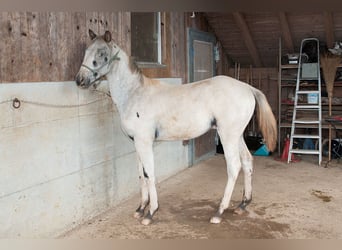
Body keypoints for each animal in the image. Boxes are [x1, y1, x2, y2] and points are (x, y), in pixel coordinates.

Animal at [76, 29, 276, 227]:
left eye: (102, 53)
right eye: (86, 51)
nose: (79, 80)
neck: (135, 94)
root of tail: (247, 88)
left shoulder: (144, 142)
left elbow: (149, 173)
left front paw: (151, 213)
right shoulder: (137, 143)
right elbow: (141, 174)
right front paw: (140, 209)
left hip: (228, 136)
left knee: (234, 167)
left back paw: (219, 212)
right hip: (237, 136)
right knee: (247, 161)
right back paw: (242, 204)